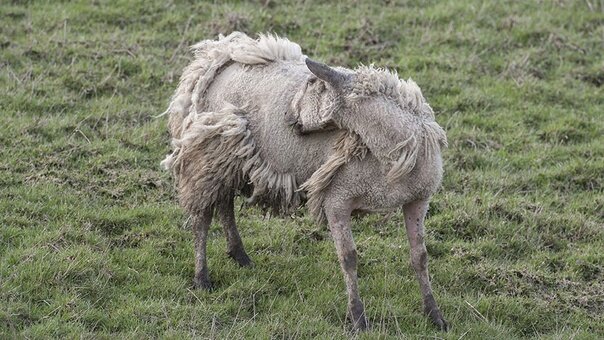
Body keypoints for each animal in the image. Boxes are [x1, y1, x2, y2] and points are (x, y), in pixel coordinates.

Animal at [160, 32, 448, 332]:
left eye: (312, 84)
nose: (288, 118)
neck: (393, 151)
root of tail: (217, 53)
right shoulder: (336, 199)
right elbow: (349, 258)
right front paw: (358, 318)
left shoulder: (418, 200)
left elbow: (420, 257)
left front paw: (435, 315)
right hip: (206, 155)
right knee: (202, 218)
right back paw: (202, 278)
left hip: (229, 160)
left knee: (225, 204)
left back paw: (239, 255)